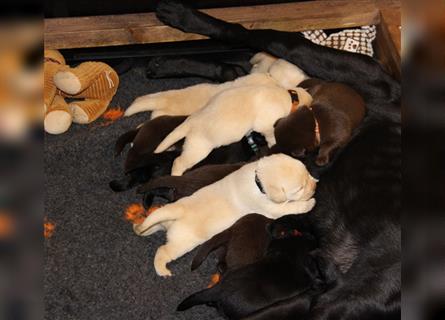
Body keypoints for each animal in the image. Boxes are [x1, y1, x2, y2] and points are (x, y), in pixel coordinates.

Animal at [132, 154, 316, 276]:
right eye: (299, 188)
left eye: (308, 172)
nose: (315, 186)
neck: (257, 181)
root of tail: (179, 209)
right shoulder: (270, 208)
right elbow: (290, 208)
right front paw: (309, 203)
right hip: (182, 242)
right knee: (163, 250)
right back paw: (162, 270)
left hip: (164, 221)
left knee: (152, 226)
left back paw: (139, 228)